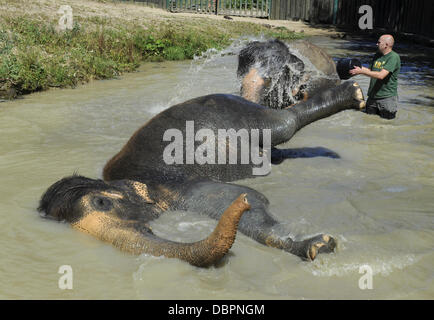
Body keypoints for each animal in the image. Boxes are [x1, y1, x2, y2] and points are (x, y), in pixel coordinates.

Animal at [38, 79, 366, 266]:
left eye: (102, 203)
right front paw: (317, 245)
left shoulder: (180, 187)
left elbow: (251, 200)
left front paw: (316, 246)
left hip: (238, 111)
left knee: (284, 124)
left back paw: (354, 93)